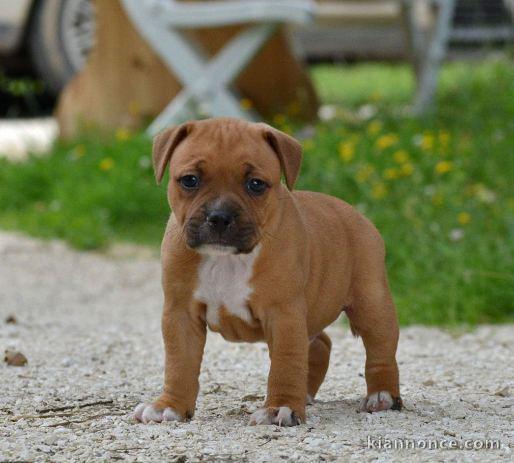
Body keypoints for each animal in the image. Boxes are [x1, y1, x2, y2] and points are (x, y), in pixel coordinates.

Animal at [135, 118, 400, 426]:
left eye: (256, 184)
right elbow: (180, 363)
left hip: (372, 303)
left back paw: (382, 396)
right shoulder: (180, 313)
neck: (227, 259)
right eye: (190, 180)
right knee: (319, 344)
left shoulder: (283, 315)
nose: (219, 216)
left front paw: (280, 407)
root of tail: (356, 213)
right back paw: (306, 395)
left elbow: (285, 364)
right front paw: (170, 406)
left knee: (380, 349)